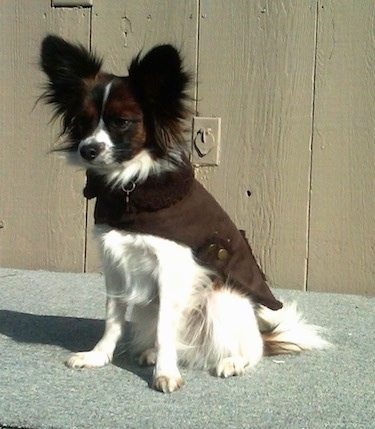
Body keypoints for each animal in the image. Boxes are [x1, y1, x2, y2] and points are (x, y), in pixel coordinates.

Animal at [39, 35, 330, 392]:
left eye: (122, 122)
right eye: (83, 122)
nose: (87, 149)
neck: (132, 190)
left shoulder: (171, 271)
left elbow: (166, 330)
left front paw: (165, 374)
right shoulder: (116, 267)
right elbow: (113, 319)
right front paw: (99, 356)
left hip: (222, 299)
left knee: (253, 350)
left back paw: (233, 361)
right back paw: (151, 353)